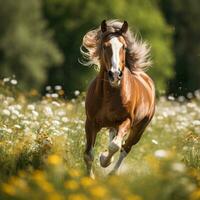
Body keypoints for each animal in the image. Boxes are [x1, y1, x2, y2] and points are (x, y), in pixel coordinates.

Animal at [80, 19, 155, 177]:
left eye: (124, 47)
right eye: (105, 46)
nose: (115, 74)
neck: (108, 95)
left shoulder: (126, 121)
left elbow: (115, 145)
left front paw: (104, 160)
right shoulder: (90, 122)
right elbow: (88, 154)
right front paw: (90, 177)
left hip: (139, 129)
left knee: (125, 148)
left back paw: (112, 172)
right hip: (112, 126)